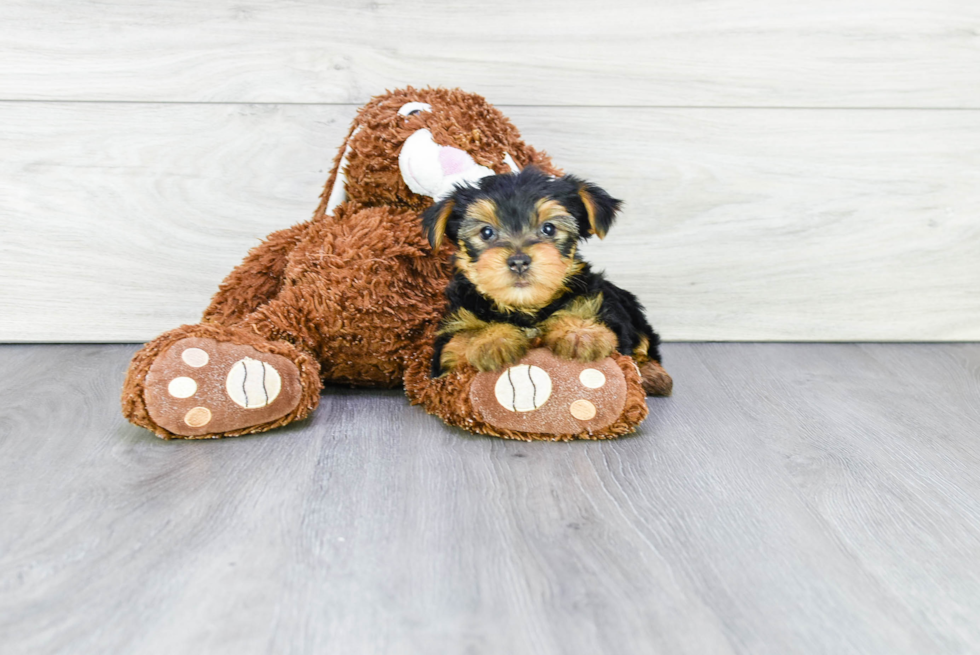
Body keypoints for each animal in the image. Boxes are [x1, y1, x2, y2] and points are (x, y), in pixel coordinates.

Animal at [422, 167, 672, 398]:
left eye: (549, 228)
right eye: (486, 232)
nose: (519, 261)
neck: (525, 307)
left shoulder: (607, 309)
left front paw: (580, 332)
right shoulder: (447, 340)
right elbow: (459, 342)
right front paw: (491, 339)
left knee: (645, 343)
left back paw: (653, 375)